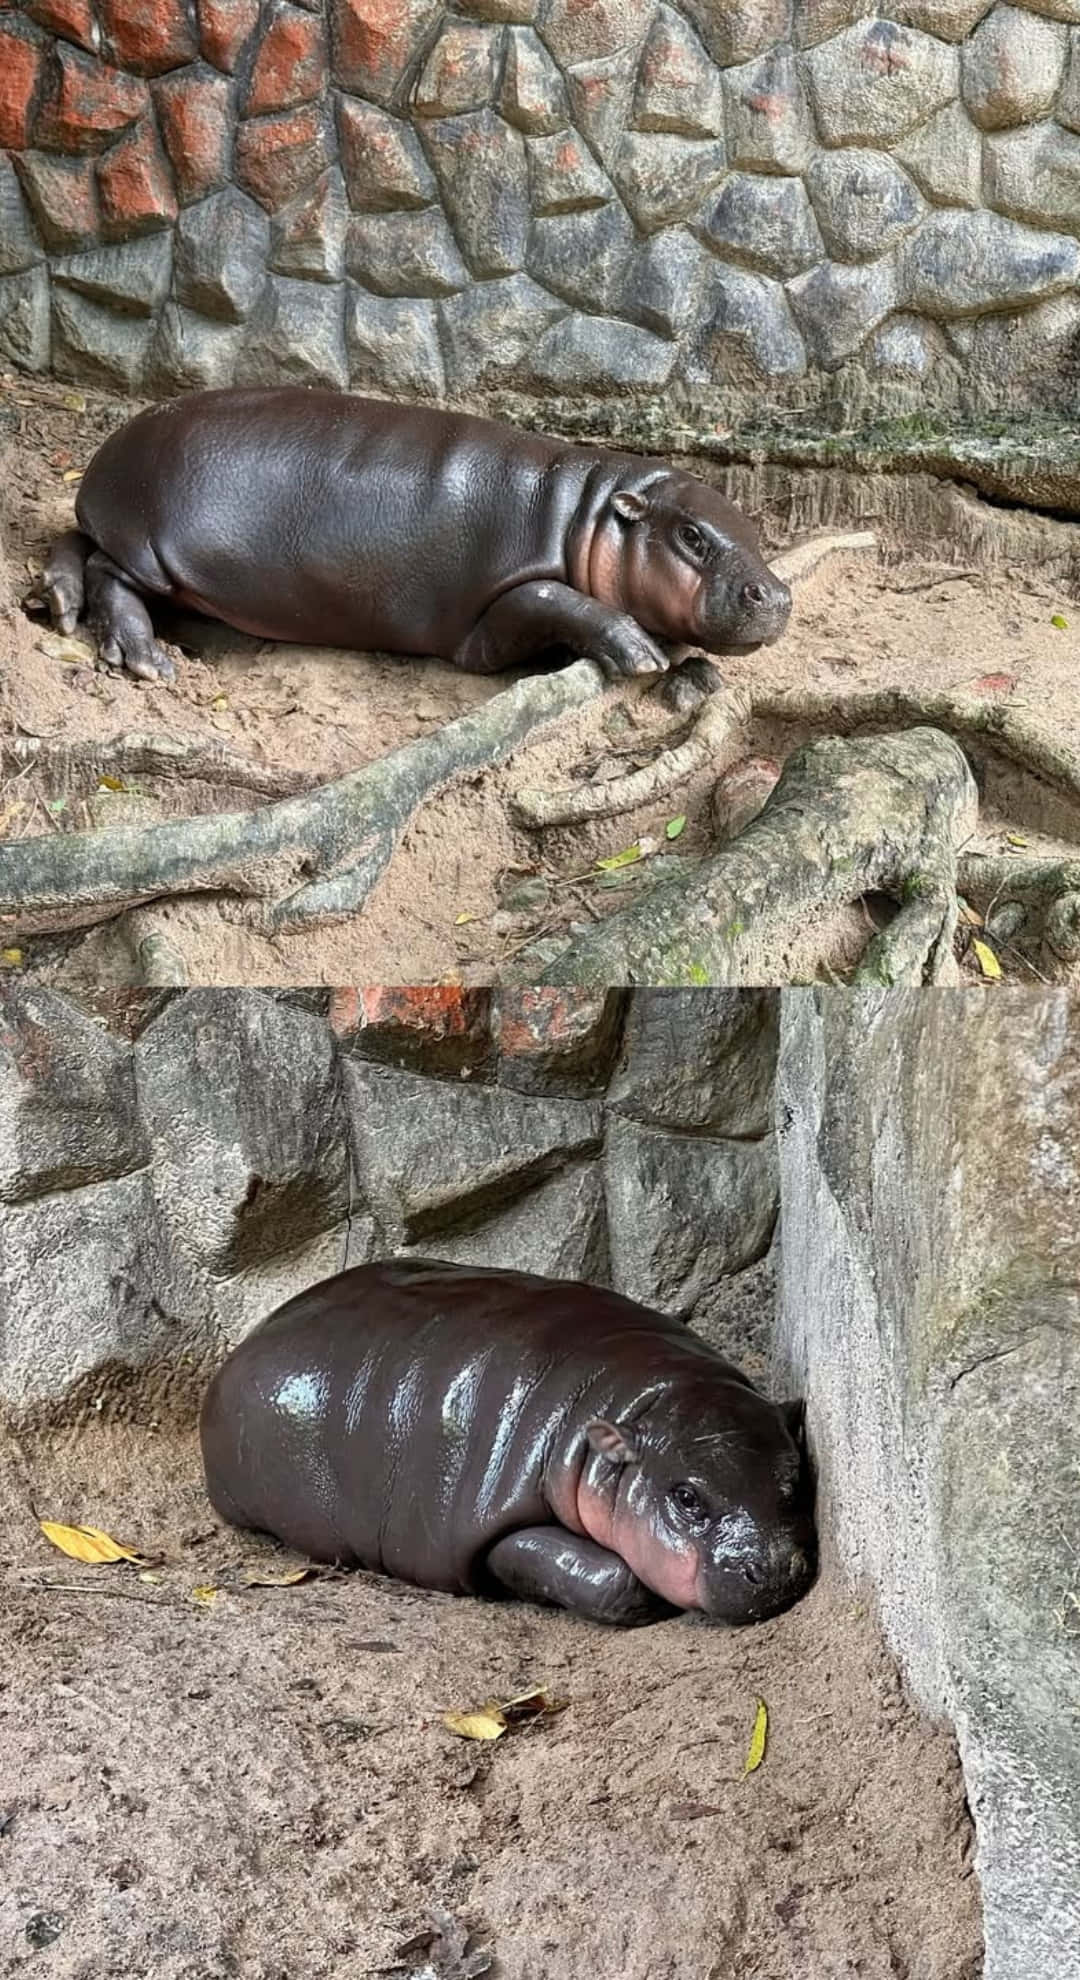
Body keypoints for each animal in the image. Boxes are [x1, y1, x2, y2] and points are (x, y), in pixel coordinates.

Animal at [43, 388, 792, 686]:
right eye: (692, 537)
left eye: (751, 528)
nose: (777, 595)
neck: (587, 512)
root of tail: (111, 451)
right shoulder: (499, 604)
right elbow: (560, 601)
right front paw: (641, 656)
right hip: (156, 548)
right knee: (110, 570)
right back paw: (146, 658)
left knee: (76, 544)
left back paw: (55, 602)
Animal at [199, 1259, 816, 1628]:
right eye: (686, 1497)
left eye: (795, 1478)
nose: (774, 1570)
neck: (644, 1403)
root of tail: (241, 1348)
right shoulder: (489, 1519)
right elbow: (607, 1577)